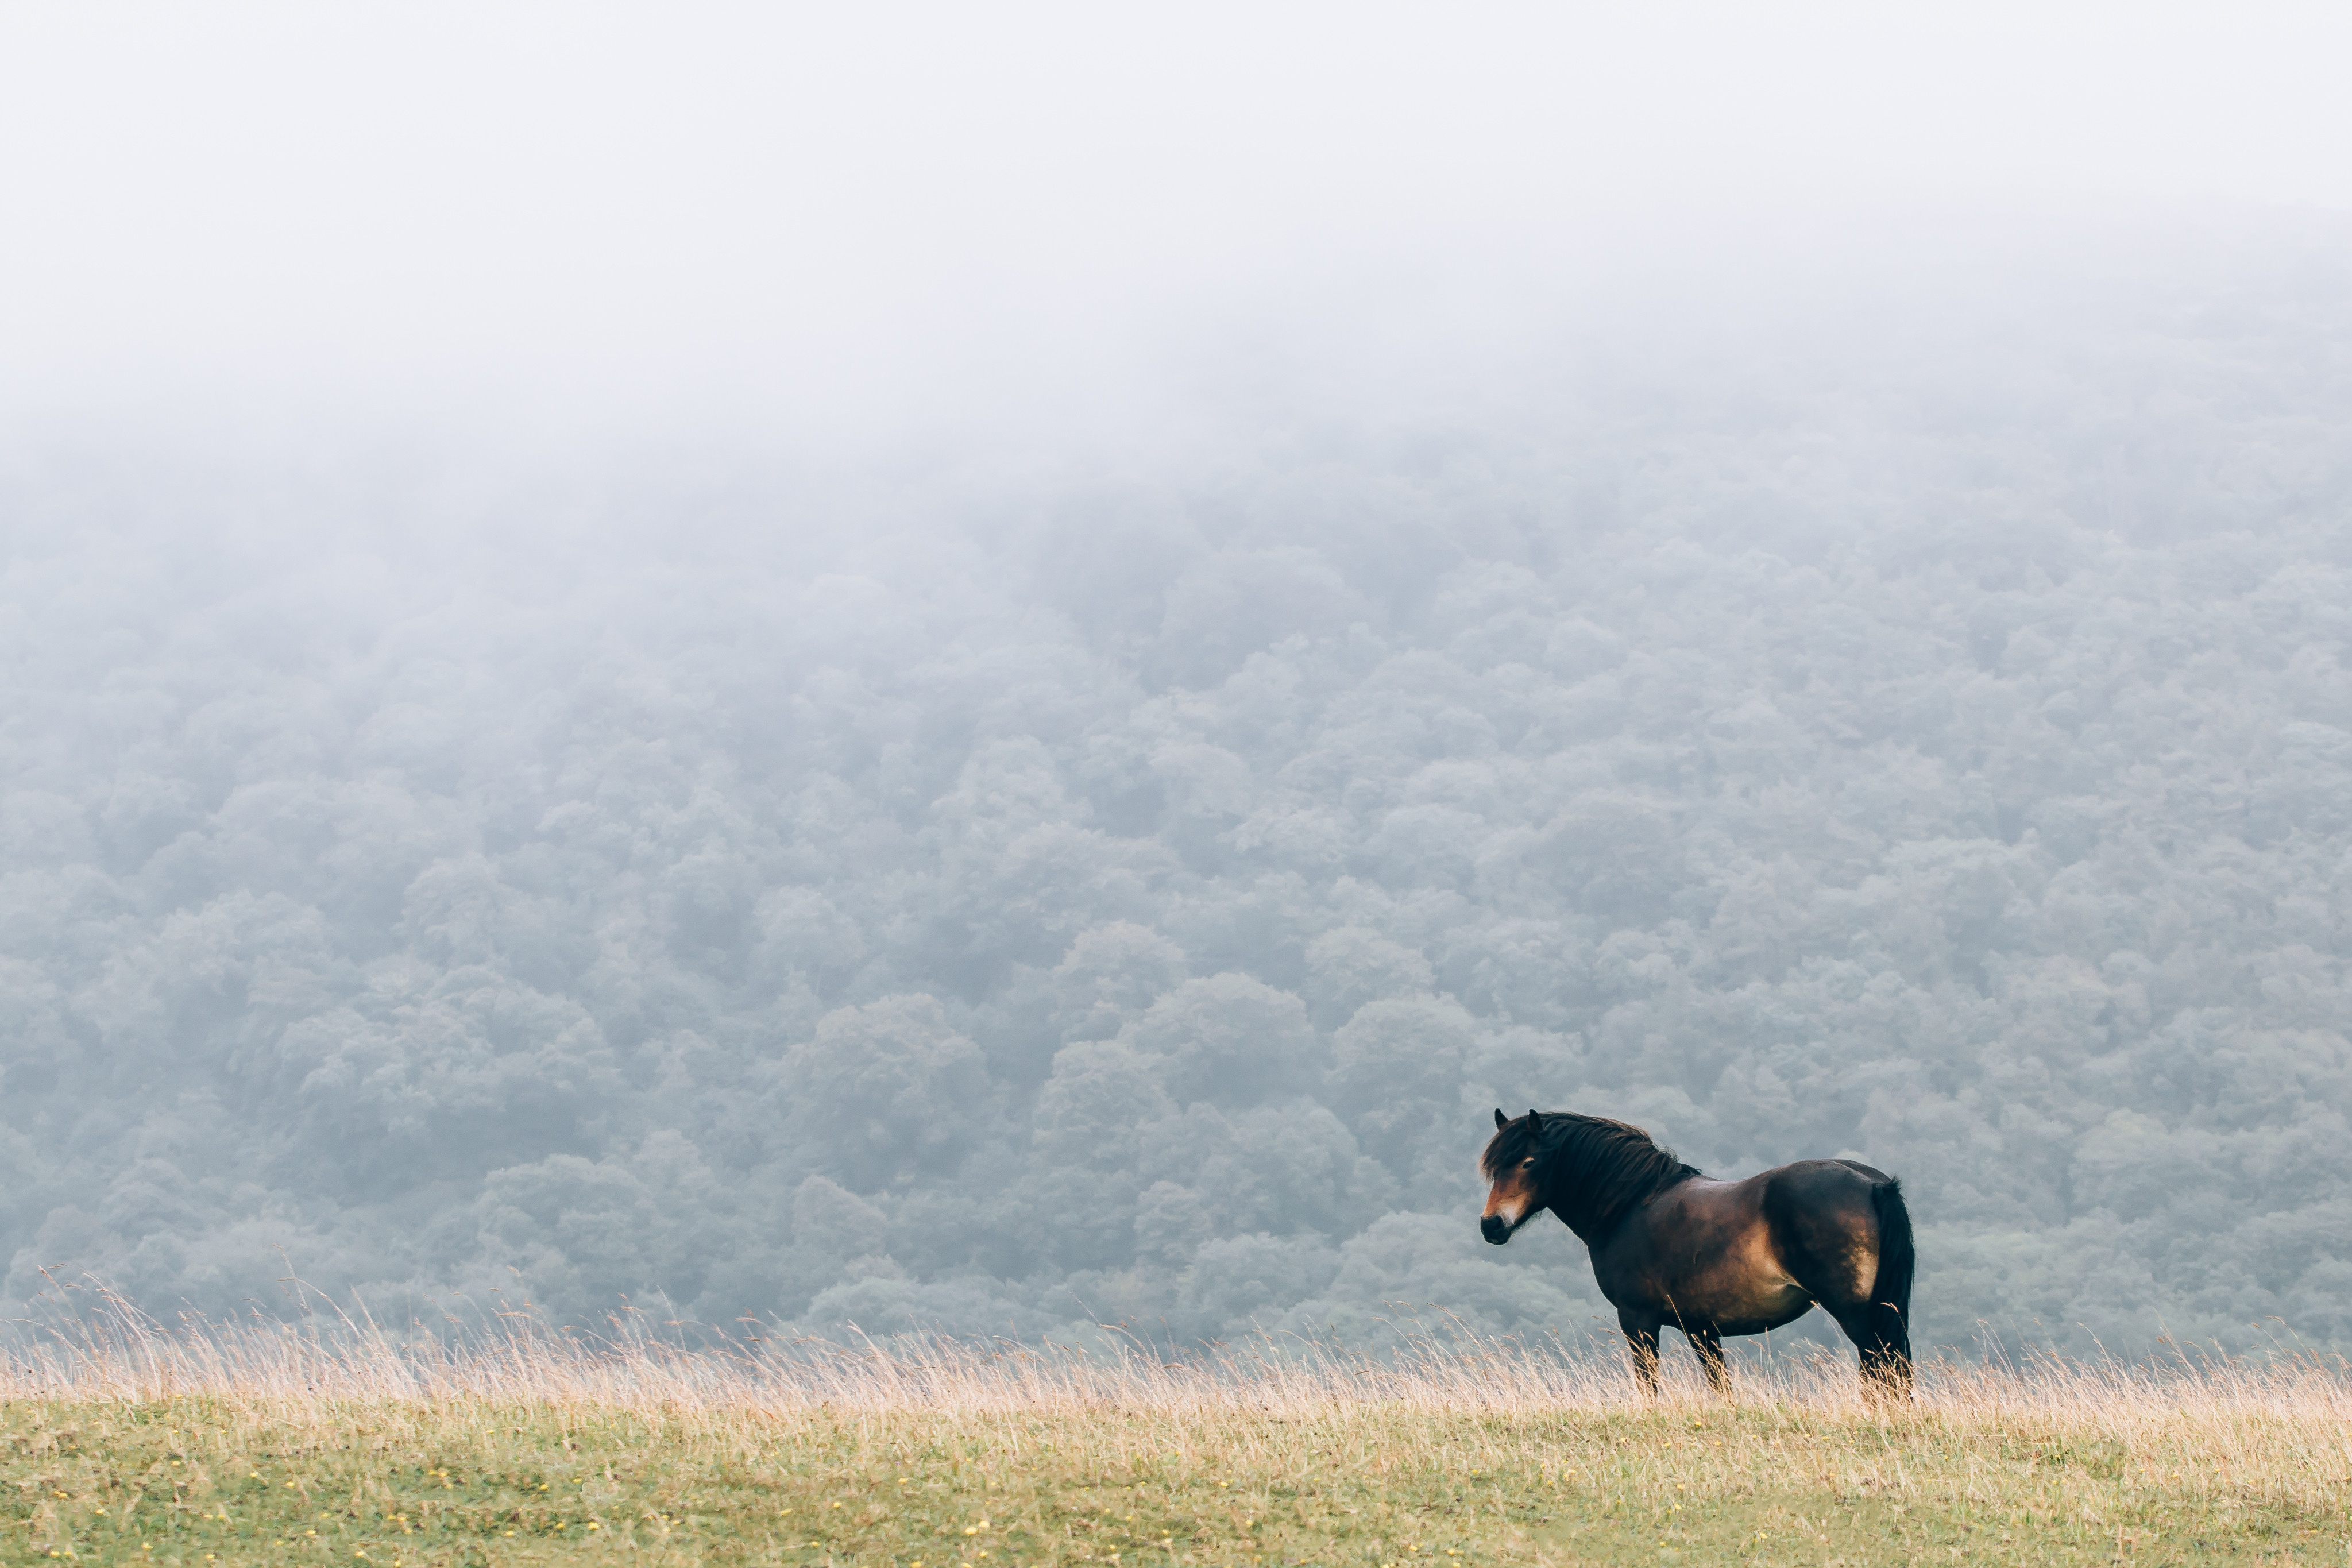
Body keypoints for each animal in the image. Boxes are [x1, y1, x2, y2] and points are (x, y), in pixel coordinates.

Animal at [1477, 1104, 1919, 1401]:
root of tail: (1872, 1184)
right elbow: (1720, 1387)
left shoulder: (1638, 1320)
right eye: (1495, 1167)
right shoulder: (1702, 1329)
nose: (1491, 1225)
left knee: (1881, 1368)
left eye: (1528, 1162)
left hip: (1857, 1315)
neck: (1631, 1205)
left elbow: (1649, 1386)